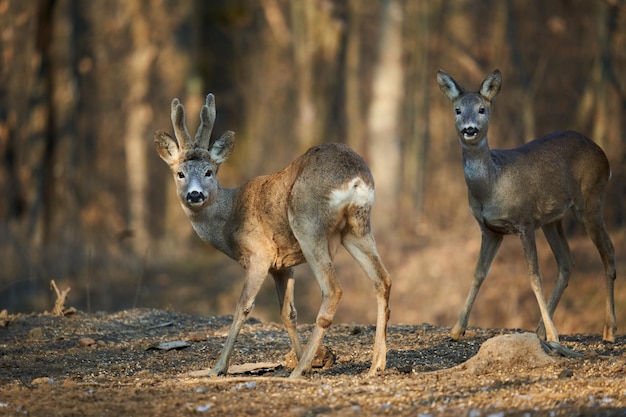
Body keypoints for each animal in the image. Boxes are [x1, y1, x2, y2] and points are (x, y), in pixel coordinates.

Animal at [155, 93, 390, 376]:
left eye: (209, 172)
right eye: (180, 173)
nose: (194, 194)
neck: (229, 218)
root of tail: (355, 177)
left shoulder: (260, 253)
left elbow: (243, 306)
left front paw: (218, 368)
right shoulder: (283, 264)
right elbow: (288, 313)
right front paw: (304, 361)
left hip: (307, 223)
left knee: (333, 289)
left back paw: (297, 373)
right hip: (356, 226)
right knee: (382, 280)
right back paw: (375, 365)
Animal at [436, 69, 616, 344]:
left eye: (481, 109)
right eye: (457, 109)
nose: (469, 129)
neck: (492, 185)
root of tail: (603, 154)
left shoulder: (525, 221)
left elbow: (534, 277)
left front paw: (554, 334)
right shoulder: (490, 229)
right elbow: (479, 273)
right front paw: (457, 330)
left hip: (591, 199)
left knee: (608, 252)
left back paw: (608, 330)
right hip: (553, 219)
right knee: (567, 262)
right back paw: (541, 328)